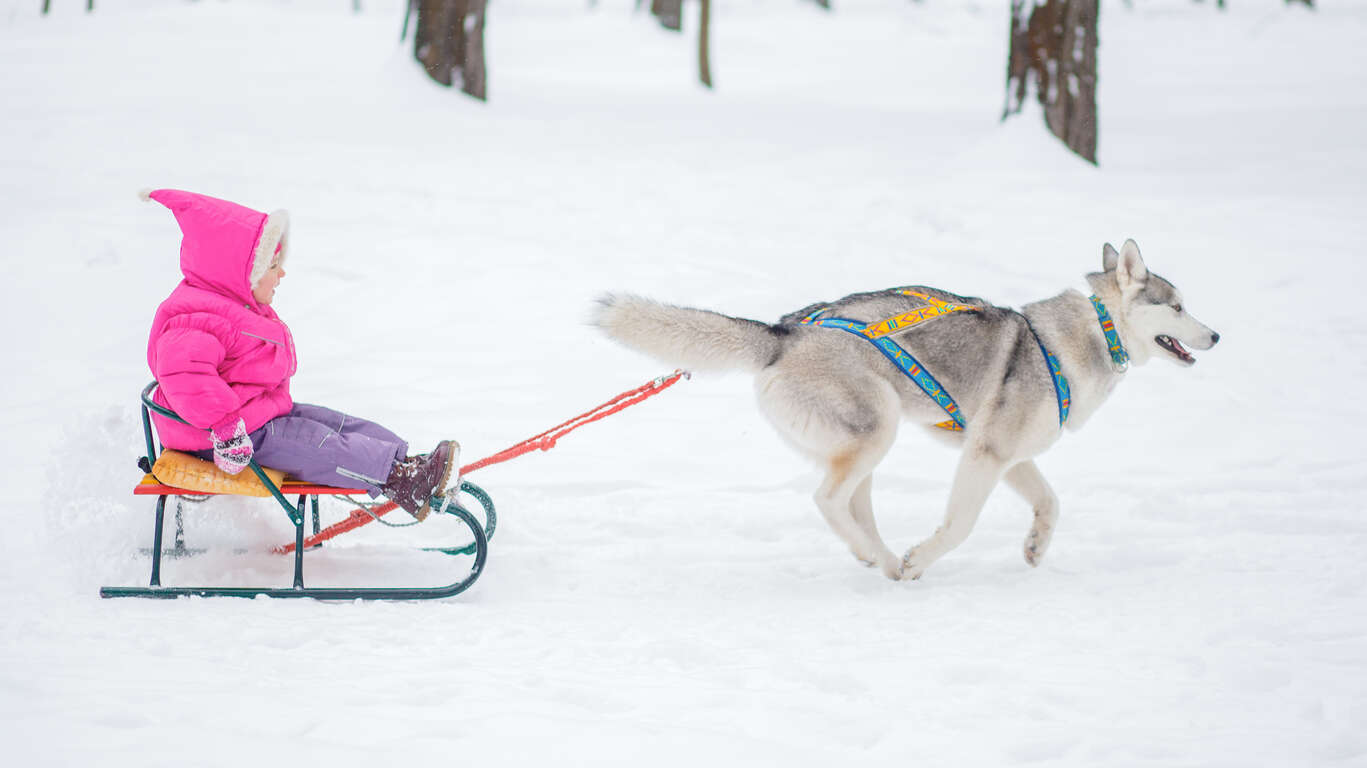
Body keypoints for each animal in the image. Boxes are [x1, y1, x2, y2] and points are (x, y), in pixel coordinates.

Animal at [593, 239, 1224, 579]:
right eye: (1178, 307)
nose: (1216, 335)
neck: (1082, 336)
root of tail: (783, 334)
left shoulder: (1009, 457)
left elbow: (1051, 502)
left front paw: (1034, 548)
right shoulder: (986, 455)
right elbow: (960, 524)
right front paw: (923, 559)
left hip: (867, 441)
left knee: (853, 507)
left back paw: (879, 557)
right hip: (878, 429)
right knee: (826, 500)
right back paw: (886, 558)